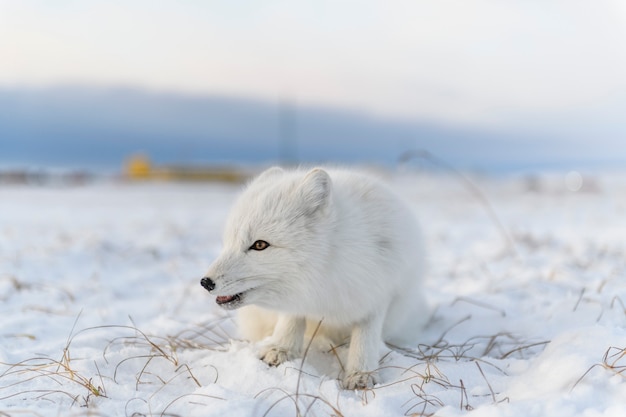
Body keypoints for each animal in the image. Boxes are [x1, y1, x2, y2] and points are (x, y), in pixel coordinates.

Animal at [200, 167, 424, 390]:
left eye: (260, 245)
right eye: (228, 241)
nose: (205, 282)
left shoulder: (379, 292)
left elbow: (365, 337)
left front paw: (361, 374)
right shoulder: (299, 297)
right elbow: (292, 318)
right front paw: (281, 349)